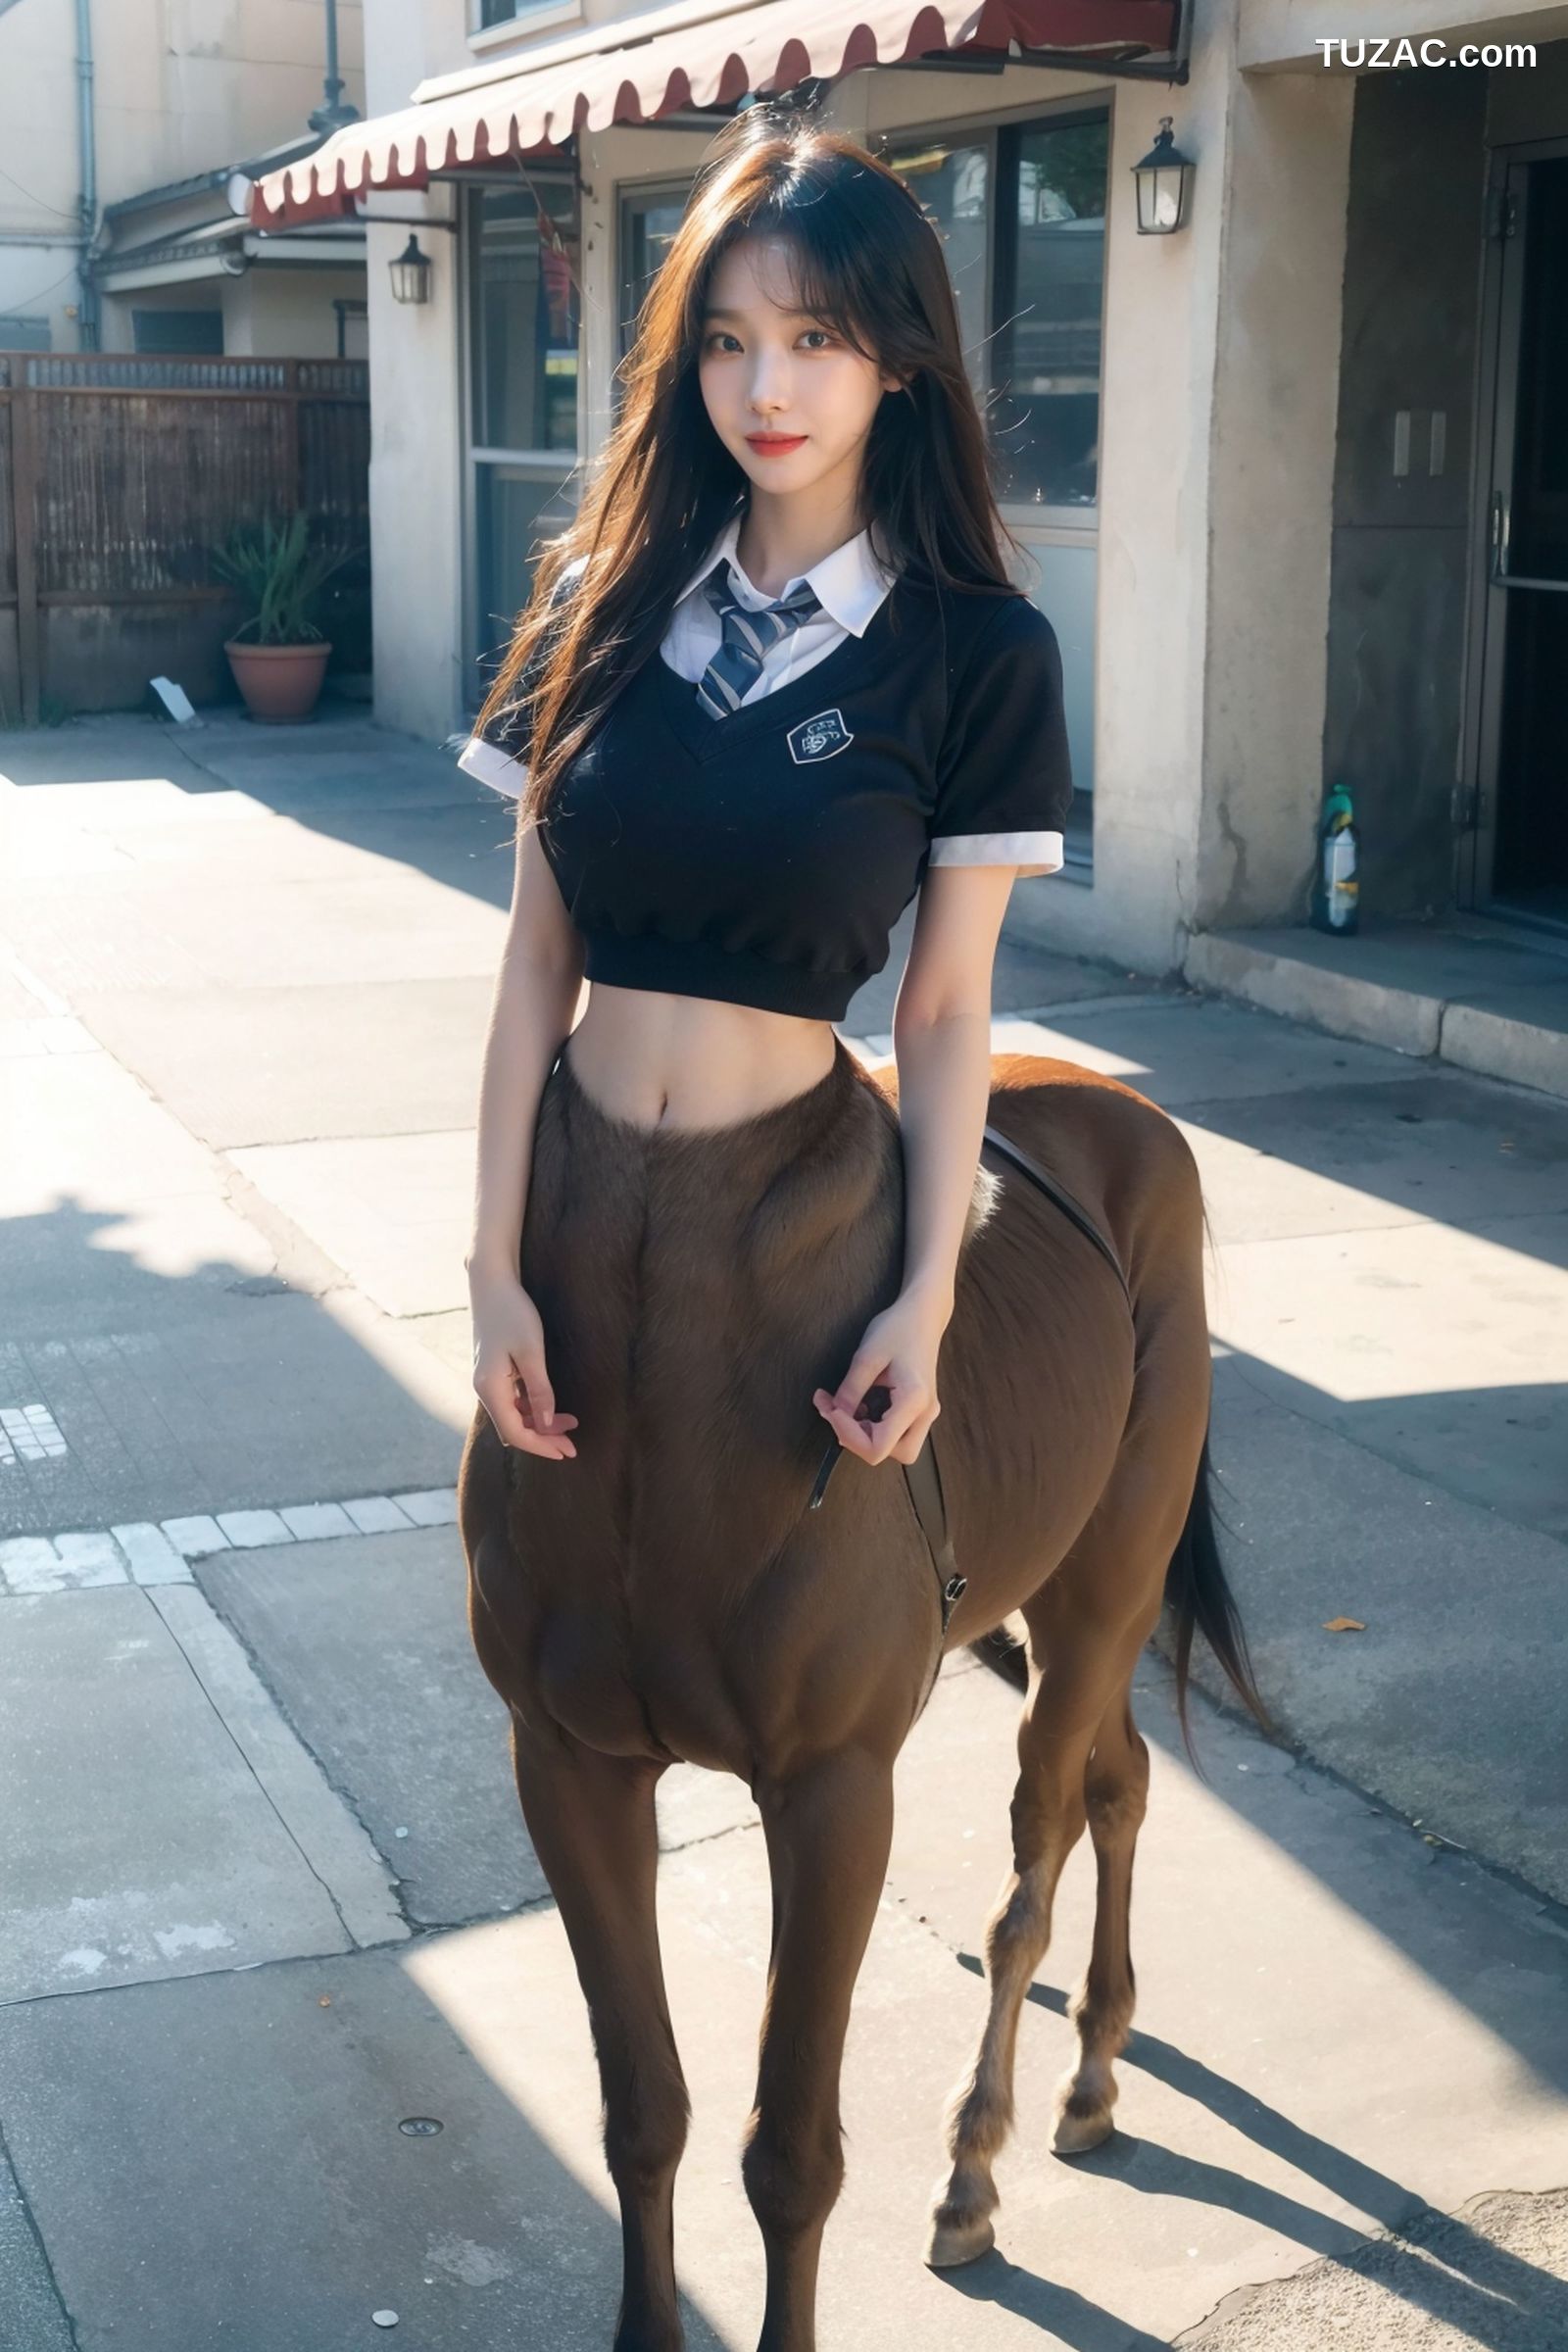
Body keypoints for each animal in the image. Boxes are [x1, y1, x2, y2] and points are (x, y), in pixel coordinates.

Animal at [457, 1029, 1266, 2352]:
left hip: (1104, 1592)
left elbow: (790, 2155)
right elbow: (643, 2112)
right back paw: (1094, 2065)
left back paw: (976, 2164)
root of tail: (1126, 1105)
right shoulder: (570, 1765)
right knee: (1120, 1781)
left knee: (1037, 1861)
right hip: (1064, 1608)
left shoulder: (831, 1792)